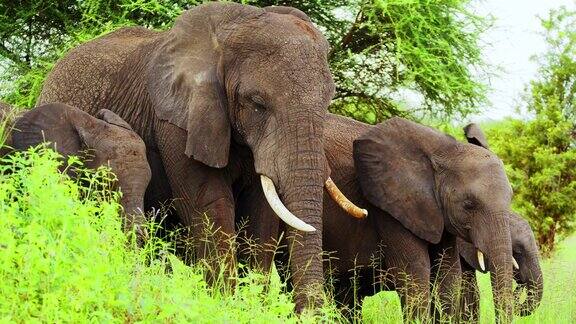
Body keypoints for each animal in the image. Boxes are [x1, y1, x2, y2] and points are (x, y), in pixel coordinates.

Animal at [38, 2, 358, 312]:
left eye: (327, 102)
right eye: (257, 103)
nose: (309, 314)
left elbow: (261, 211)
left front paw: (254, 306)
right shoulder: (180, 119)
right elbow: (211, 204)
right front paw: (228, 307)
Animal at [236, 114, 516, 322]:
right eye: (469, 205)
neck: (444, 150)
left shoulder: (437, 215)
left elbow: (448, 278)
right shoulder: (389, 206)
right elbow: (415, 273)